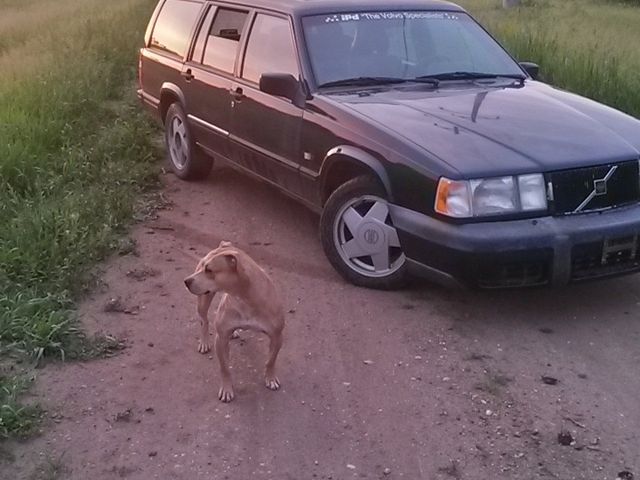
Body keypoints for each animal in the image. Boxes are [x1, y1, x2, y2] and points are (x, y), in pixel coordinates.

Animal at [185, 240, 284, 402]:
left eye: (209, 270)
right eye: (204, 266)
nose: (186, 281)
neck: (244, 297)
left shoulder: (277, 336)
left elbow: (271, 360)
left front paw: (270, 378)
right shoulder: (221, 338)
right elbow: (224, 367)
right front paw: (226, 389)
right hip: (203, 301)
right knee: (203, 320)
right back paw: (204, 342)